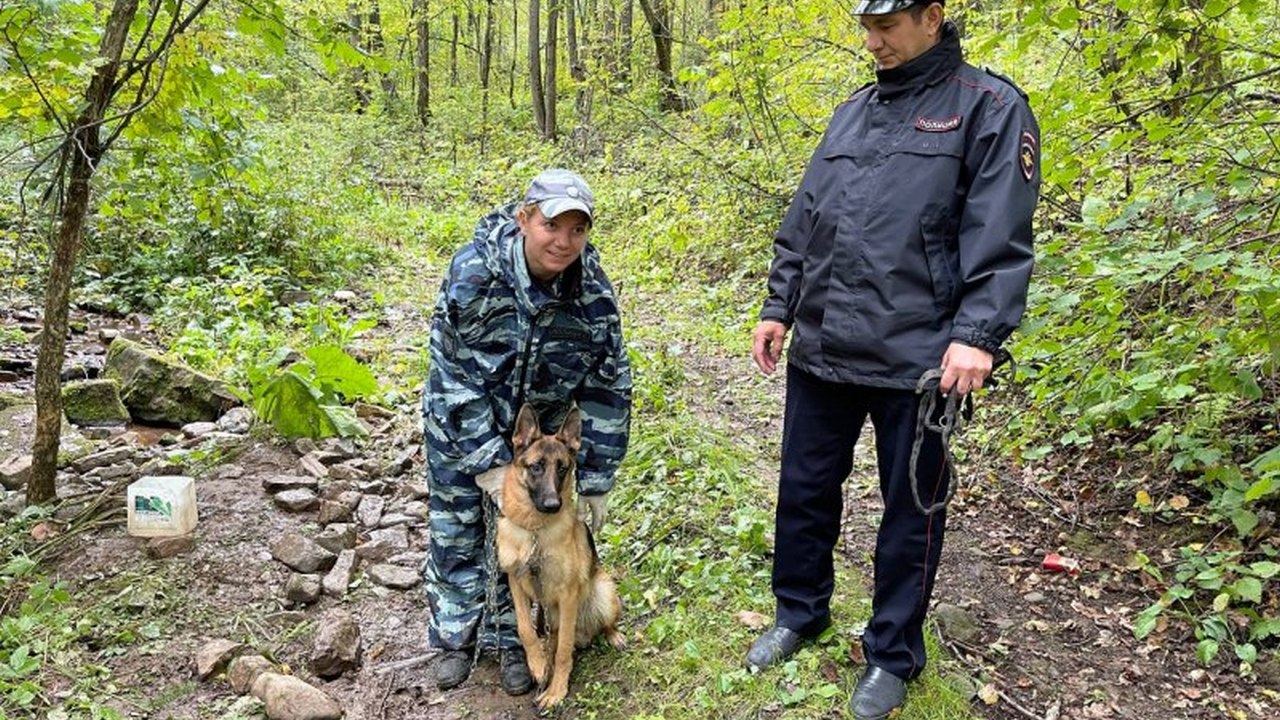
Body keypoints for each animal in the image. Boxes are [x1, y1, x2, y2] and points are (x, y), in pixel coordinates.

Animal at [476, 404, 624, 707]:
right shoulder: (516, 583)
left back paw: (613, 636)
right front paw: (538, 664)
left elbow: (564, 649)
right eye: (536, 467)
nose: (552, 504)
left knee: (600, 626)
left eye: (563, 468)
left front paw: (556, 691)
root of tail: (585, 634)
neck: (535, 531)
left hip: (603, 591)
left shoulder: (567, 597)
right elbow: (525, 628)